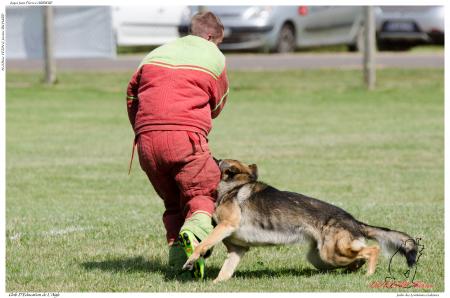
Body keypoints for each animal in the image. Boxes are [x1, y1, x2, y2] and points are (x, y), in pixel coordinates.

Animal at [183, 158, 418, 282]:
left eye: (219, 162)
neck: (235, 187)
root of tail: (354, 221)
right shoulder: (237, 250)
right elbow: (225, 271)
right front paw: (216, 284)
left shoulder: (226, 225)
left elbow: (203, 244)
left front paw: (191, 260)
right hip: (321, 257)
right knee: (357, 257)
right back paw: (352, 271)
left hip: (331, 252)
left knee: (373, 249)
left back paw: (368, 274)